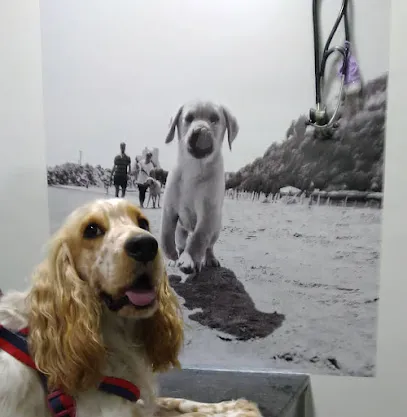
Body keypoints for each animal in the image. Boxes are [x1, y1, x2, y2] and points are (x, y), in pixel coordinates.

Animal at [161, 99, 239, 274]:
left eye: (214, 119)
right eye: (189, 118)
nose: (200, 130)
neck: (194, 168)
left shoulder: (208, 213)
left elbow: (197, 240)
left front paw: (189, 259)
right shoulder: (169, 208)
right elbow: (165, 237)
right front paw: (171, 256)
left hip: (216, 229)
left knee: (208, 246)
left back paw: (209, 259)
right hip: (181, 229)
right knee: (181, 243)